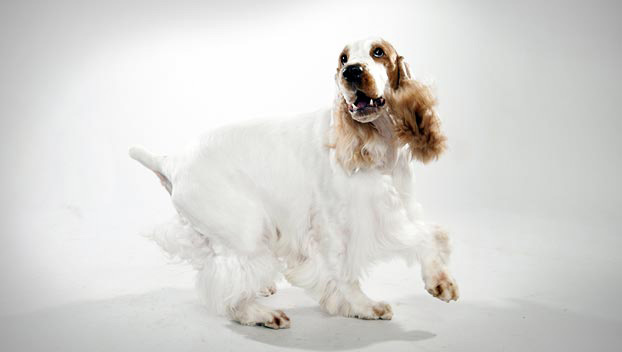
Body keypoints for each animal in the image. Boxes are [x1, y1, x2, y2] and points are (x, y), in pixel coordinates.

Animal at [130, 37, 458, 328]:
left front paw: (440, 282)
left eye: (378, 52)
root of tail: (172, 161)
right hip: (244, 227)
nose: (351, 72)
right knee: (228, 286)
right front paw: (363, 306)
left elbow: (428, 235)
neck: (373, 143)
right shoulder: (341, 223)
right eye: (342, 58)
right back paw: (261, 314)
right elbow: (346, 272)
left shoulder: (397, 207)